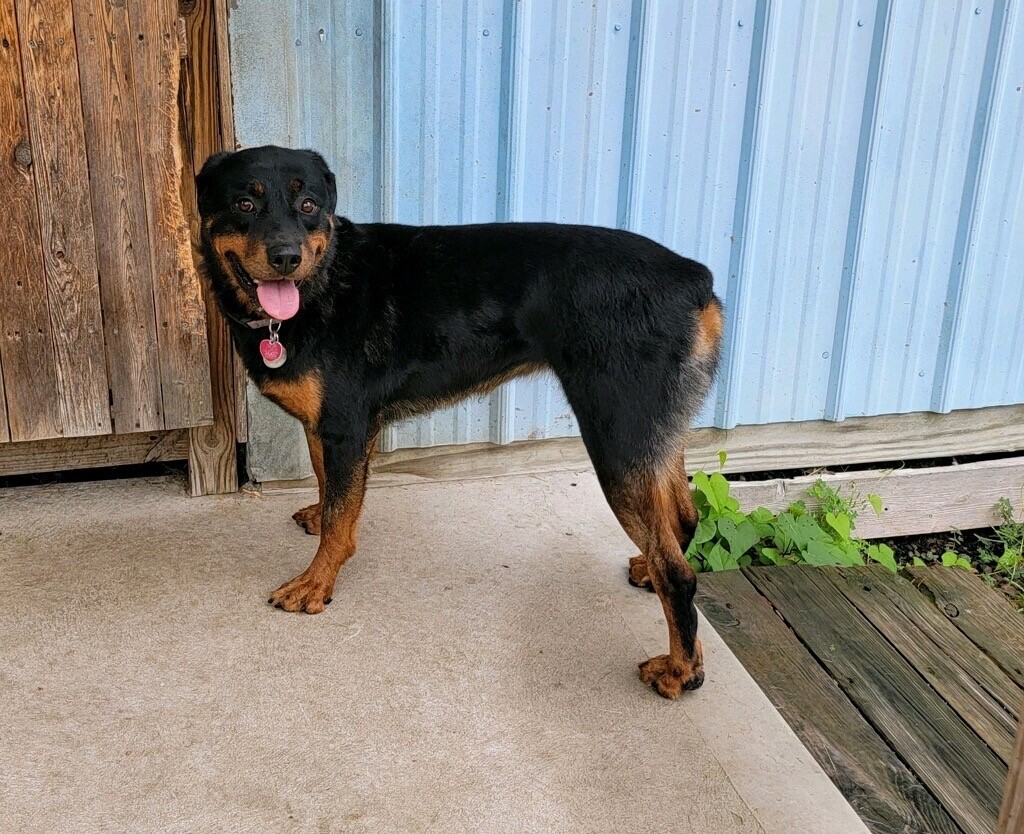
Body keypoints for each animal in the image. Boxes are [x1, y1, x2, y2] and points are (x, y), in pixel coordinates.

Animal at [193, 145, 720, 700]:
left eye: (309, 204)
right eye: (245, 204)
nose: (286, 257)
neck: (324, 281)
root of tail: (693, 280)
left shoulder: (345, 425)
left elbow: (340, 515)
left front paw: (316, 583)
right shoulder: (331, 428)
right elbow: (331, 491)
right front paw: (321, 522)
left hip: (616, 436)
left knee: (679, 573)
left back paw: (680, 670)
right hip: (651, 430)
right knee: (683, 517)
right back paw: (648, 571)